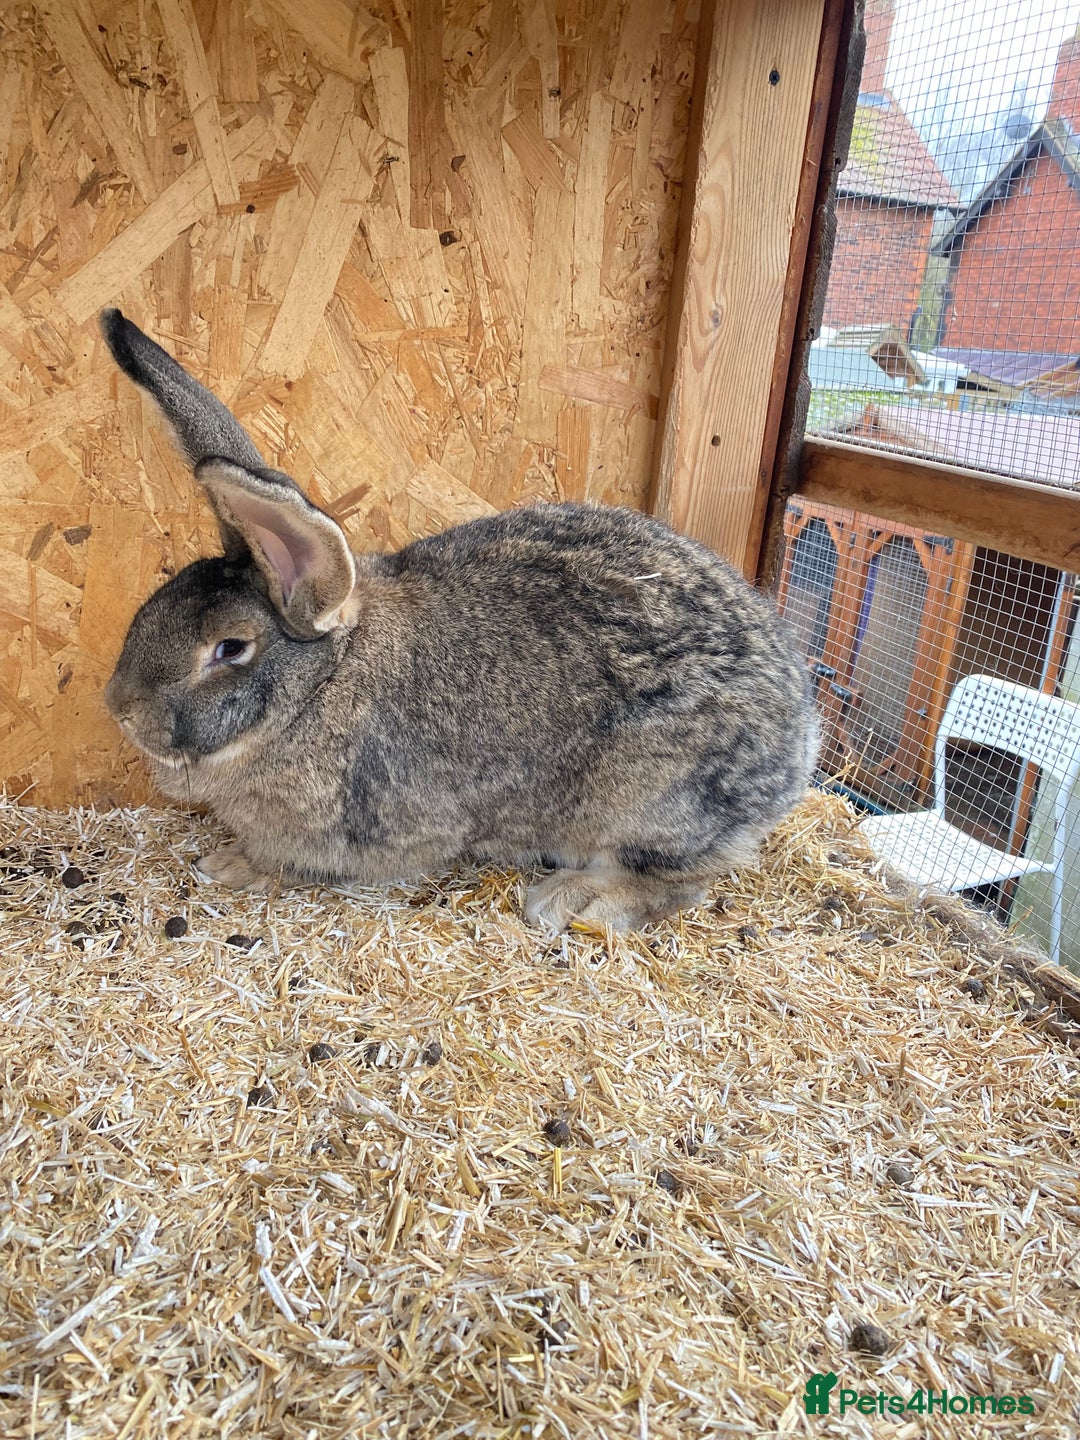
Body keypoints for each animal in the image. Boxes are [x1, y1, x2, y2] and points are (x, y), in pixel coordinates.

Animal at [100, 308, 818, 932]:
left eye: (229, 648)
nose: (120, 708)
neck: (320, 689)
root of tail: (798, 751)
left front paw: (233, 866)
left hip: (648, 802)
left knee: (678, 878)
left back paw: (572, 902)